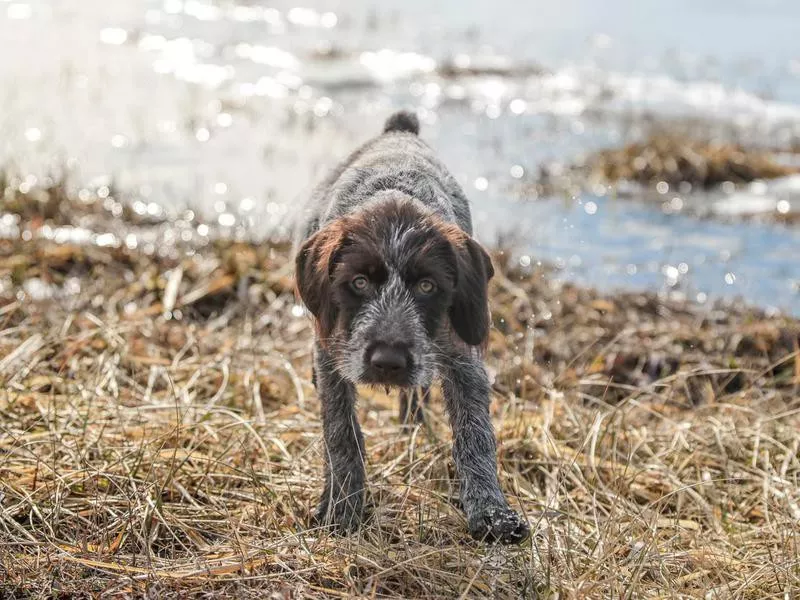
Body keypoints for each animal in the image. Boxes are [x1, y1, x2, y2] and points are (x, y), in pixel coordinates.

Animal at [296, 109, 532, 544]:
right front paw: (342, 507)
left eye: (427, 286)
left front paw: (491, 512)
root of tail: (398, 129)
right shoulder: (334, 354)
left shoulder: (460, 356)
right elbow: (340, 432)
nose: (388, 361)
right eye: (359, 282)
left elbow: (475, 434)